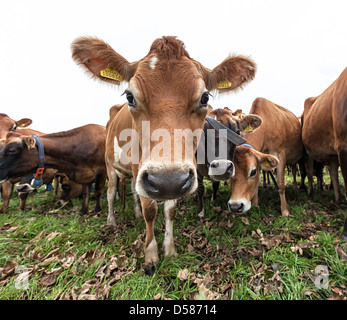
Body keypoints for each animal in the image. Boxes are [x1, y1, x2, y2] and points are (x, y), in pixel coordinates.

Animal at [72, 35, 256, 270]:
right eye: (130, 97)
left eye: (205, 98)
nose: (167, 180)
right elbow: (150, 210)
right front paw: (151, 255)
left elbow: (169, 210)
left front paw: (169, 249)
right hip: (110, 166)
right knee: (111, 193)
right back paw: (111, 221)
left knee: (133, 191)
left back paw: (135, 213)